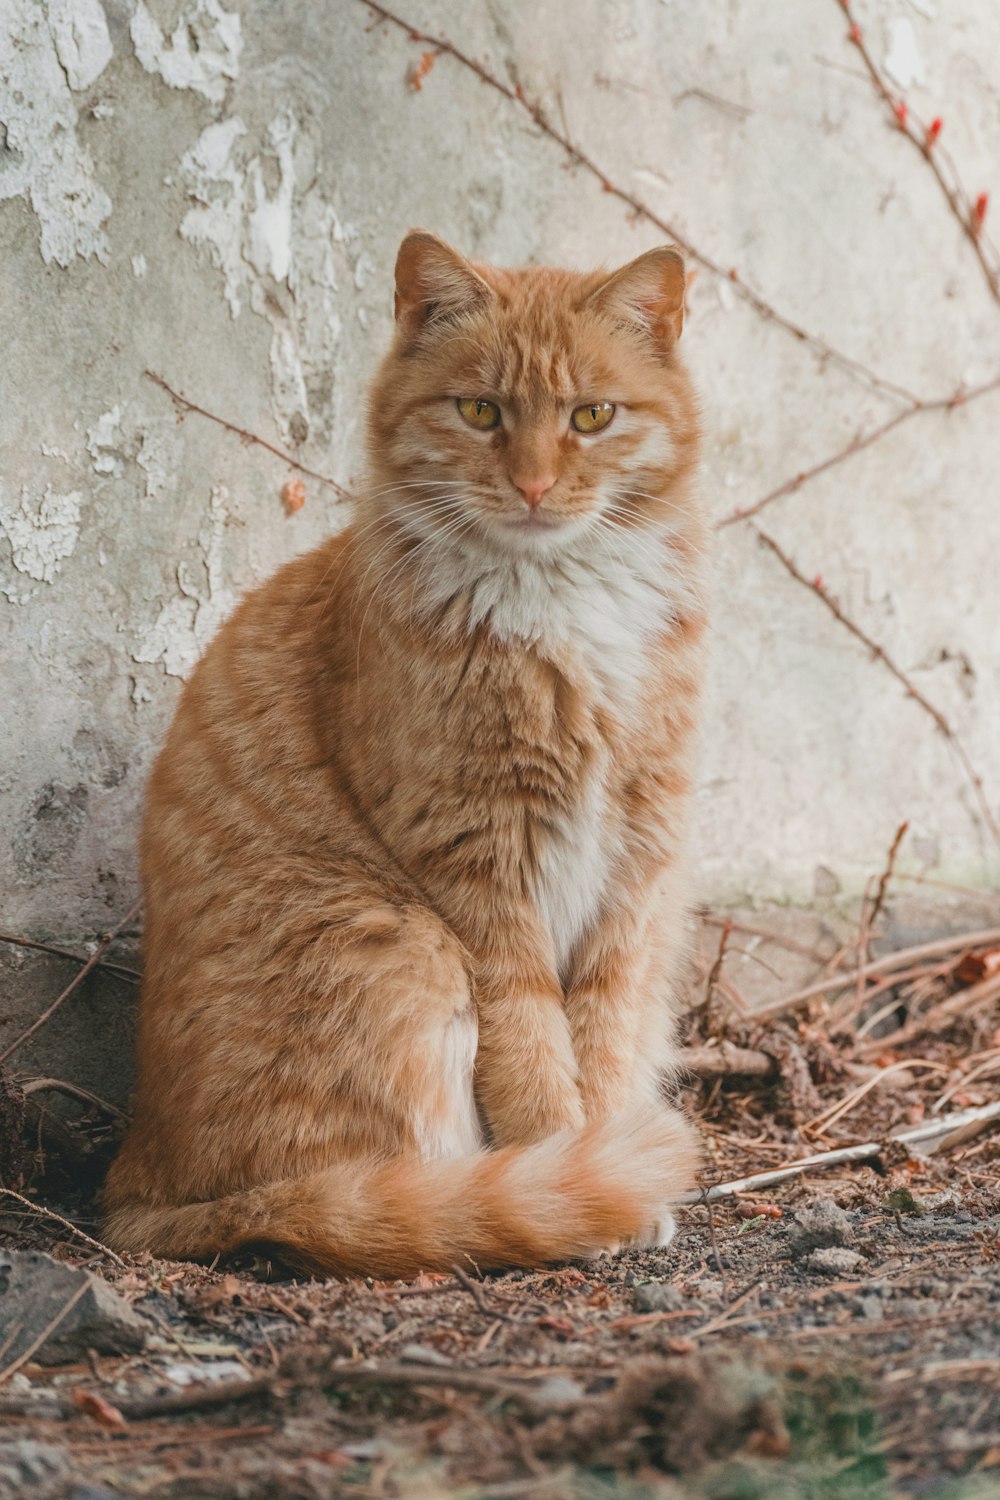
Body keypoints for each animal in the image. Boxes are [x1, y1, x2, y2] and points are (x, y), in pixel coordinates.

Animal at [103, 228, 704, 1272]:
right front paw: (581, 1173)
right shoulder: (475, 860)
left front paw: (613, 1155)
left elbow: (607, 1032)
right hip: (402, 949)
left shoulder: (638, 868)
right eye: (480, 411)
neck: (563, 596)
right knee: (376, 1197)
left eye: (591, 416)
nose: (534, 485)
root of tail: (135, 1186)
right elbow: (534, 1051)